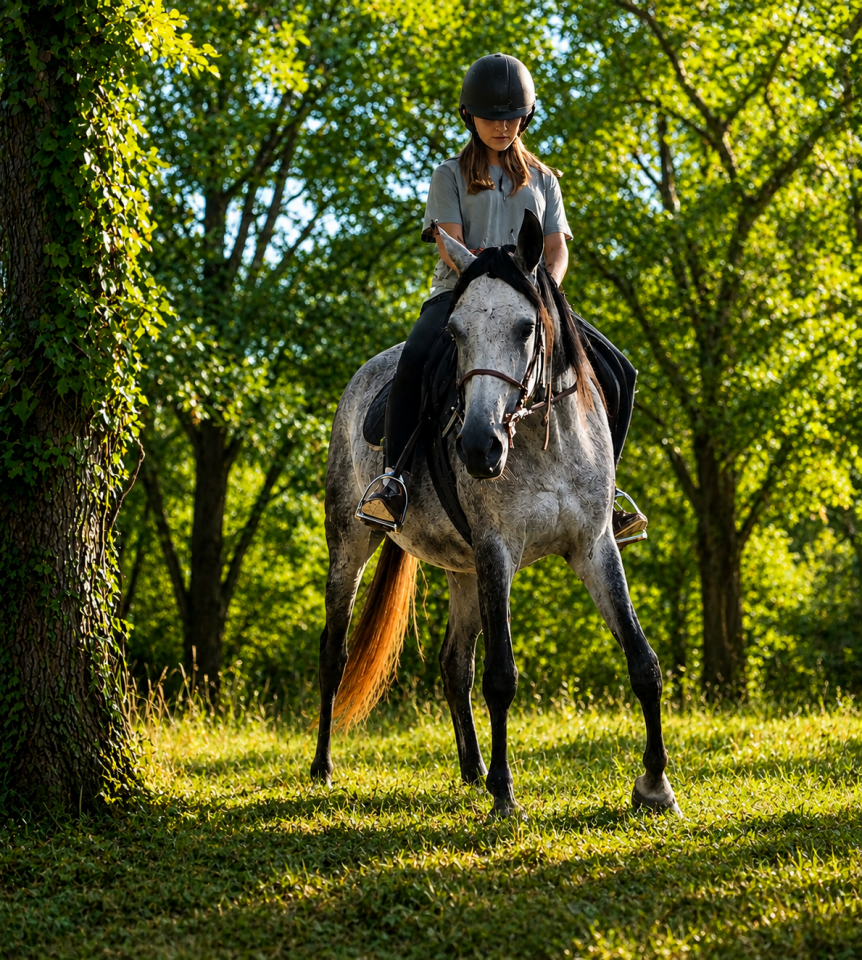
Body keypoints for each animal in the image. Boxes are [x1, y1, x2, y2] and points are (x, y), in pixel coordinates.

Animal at [310, 211, 681, 818]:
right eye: (455, 333)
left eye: (527, 328)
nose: (478, 447)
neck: (543, 440)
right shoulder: (497, 552)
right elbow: (502, 677)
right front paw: (506, 793)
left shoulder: (594, 547)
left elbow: (642, 661)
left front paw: (655, 786)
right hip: (350, 545)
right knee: (333, 654)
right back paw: (322, 766)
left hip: (463, 571)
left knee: (453, 663)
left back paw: (472, 768)